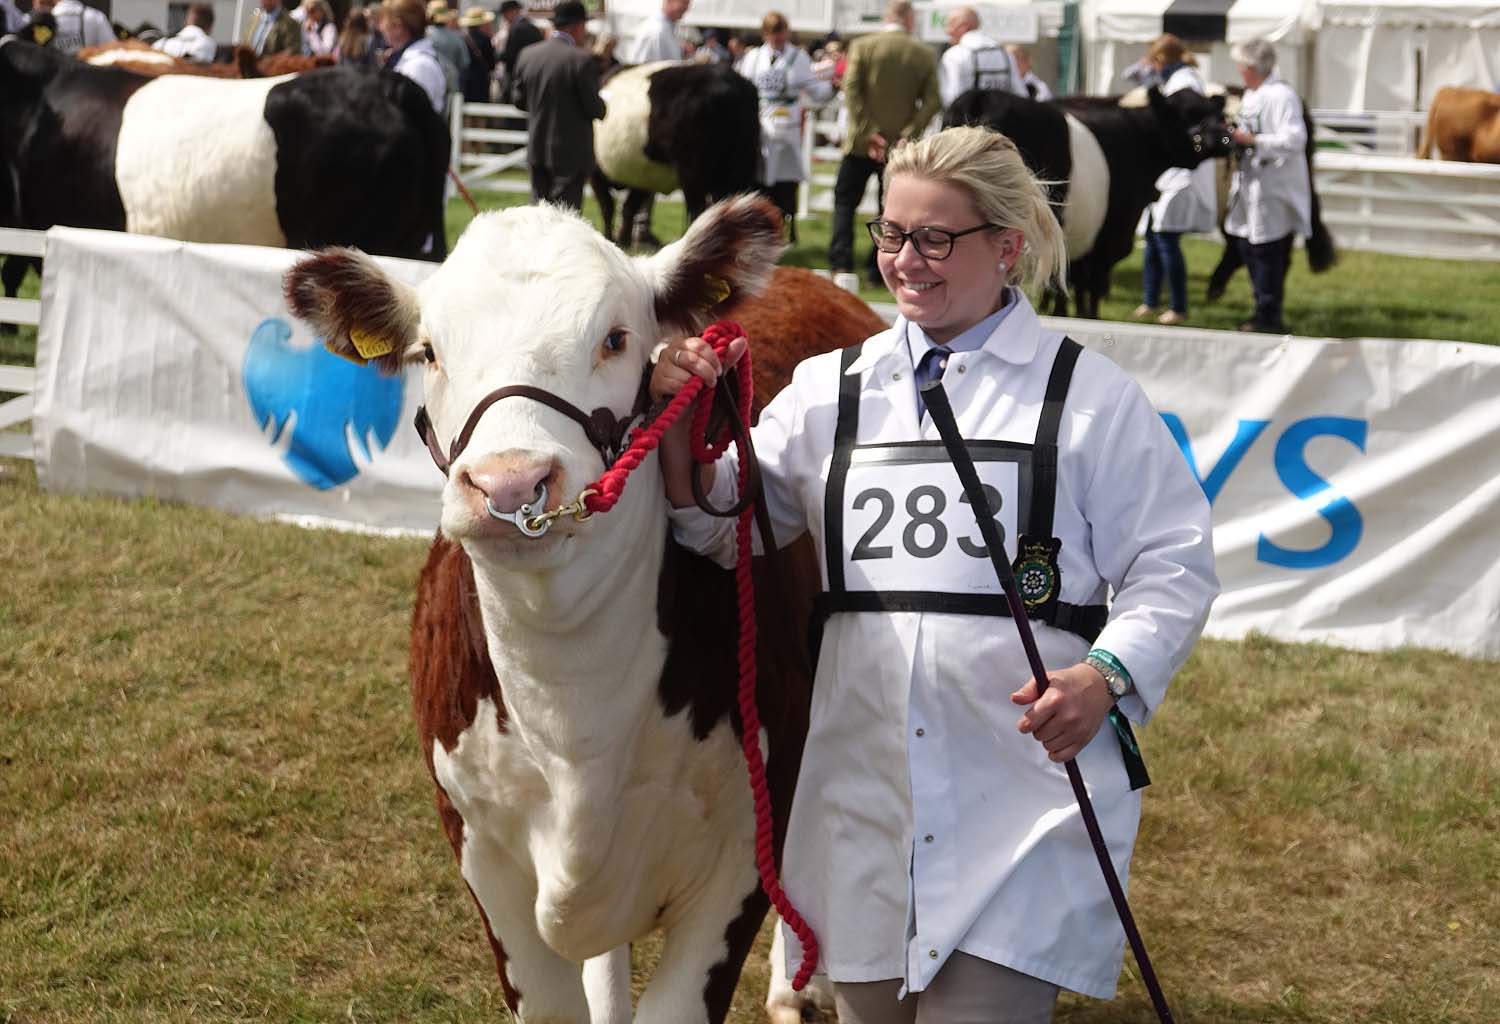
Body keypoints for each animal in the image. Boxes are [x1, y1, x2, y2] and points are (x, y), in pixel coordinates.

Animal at [286, 196, 882, 1019]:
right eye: (429, 352)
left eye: (616, 337)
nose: (509, 484)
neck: (574, 719)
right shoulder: (479, 847)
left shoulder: (741, 853)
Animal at [588, 62, 762, 248]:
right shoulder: (642, 176)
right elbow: (628, 207)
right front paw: (623, 241)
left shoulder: (596, 172)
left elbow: (608, 207)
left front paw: (610, 238)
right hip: (739, 167)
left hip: (693, 172)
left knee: (697, 210)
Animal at [948, 86, 1230, 314]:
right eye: (1188, 115)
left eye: (1214, 114)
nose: (1225, 139)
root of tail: (985, 95)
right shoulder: (1111, 234)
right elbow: (1088, 283)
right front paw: (1086, 315)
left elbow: (1073, 282)